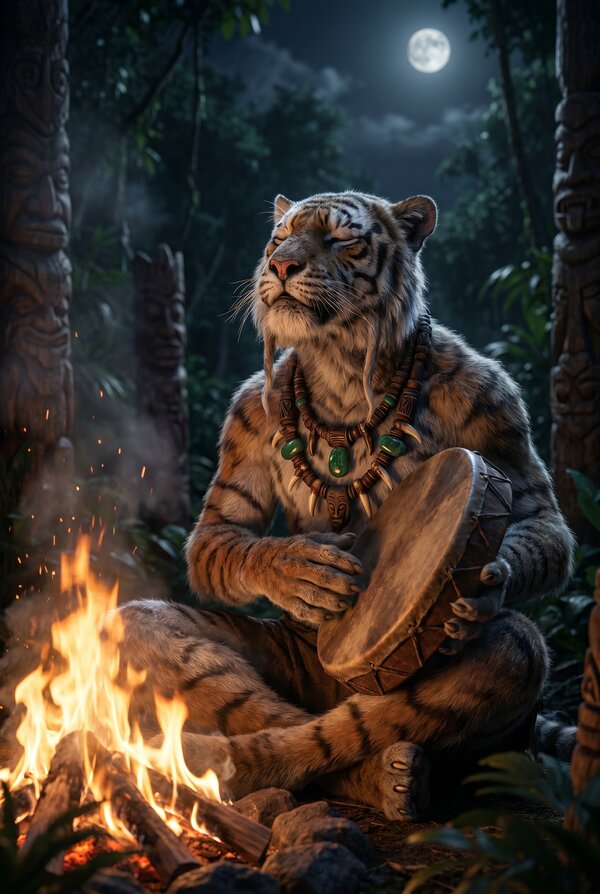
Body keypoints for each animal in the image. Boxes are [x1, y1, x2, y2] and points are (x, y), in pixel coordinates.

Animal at [116, 190, 576, 819]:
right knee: (232, 682)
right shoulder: (244, 418)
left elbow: (541, 523)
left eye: (340, 240)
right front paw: (293, 567)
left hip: (507, 663)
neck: (339, 363)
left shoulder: (493, 398)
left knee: (486, 657)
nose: (282, 265)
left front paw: (485, 588)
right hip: (222, 649)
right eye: (278, 236)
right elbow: (220, 534)